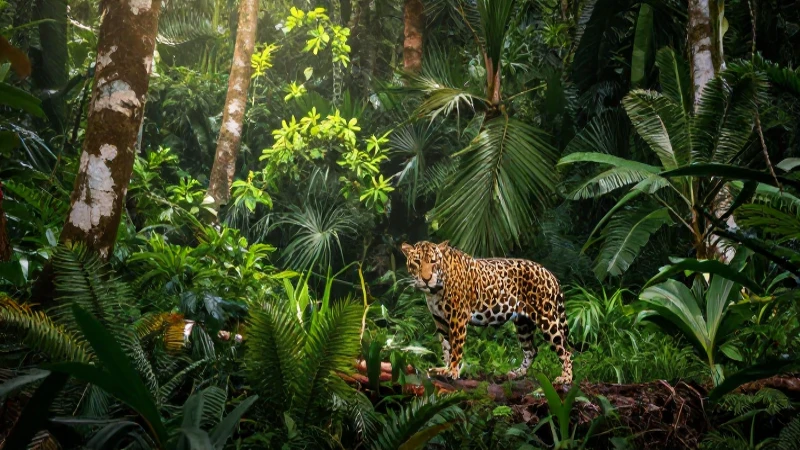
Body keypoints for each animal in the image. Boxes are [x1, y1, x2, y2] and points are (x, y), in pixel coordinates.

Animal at [401, 240, 572, 384]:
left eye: (433, 261)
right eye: (417, 262)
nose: (426, 279)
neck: (434, 291)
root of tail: (551, 275)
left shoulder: (458, 317)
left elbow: (456, 347)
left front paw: (453, 371)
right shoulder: (440, 320)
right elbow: (446, 347)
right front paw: (445, 368)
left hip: (547, 319)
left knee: (566, 350)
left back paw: (566, 378)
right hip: (524, 324)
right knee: (532, 350)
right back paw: (517, 373)